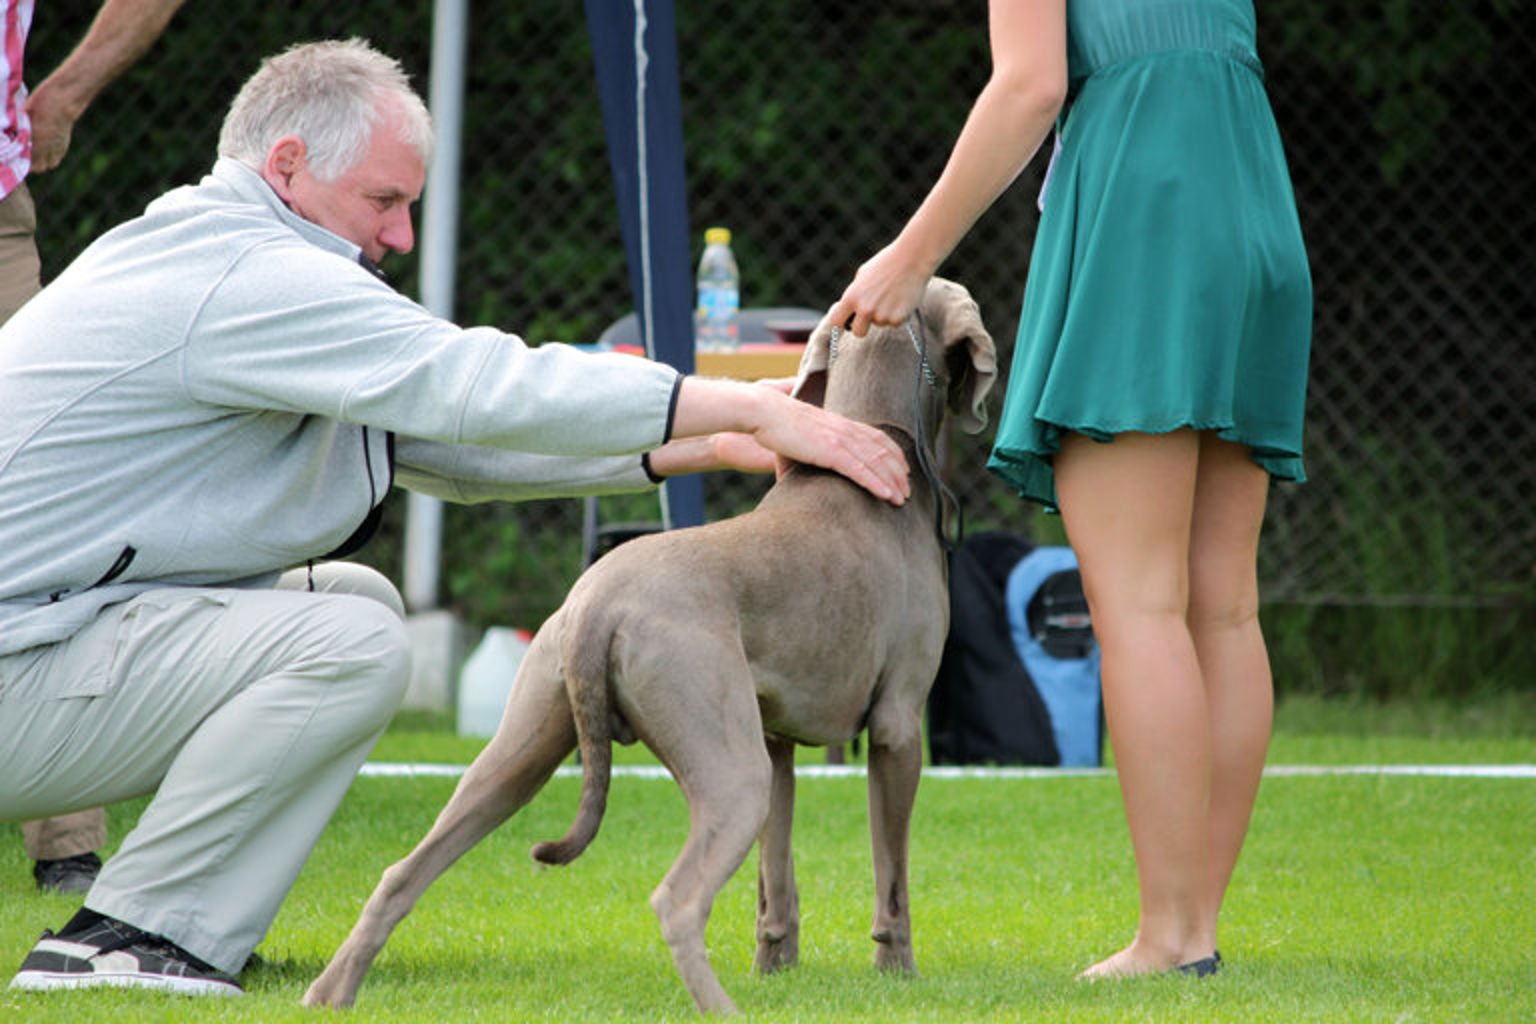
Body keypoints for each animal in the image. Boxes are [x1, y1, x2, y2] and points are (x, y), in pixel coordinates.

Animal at [305, 277, 1001, 1019]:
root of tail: (598, 603)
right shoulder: (898, 725)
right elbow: (891, 874)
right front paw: (898, 972)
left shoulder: (776, 738)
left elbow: (776, 882)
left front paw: (777, 969)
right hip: (731, 770)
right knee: (677, 900)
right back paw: (723, 1010)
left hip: (525, 749)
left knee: (402, 871)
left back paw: (330, 994)